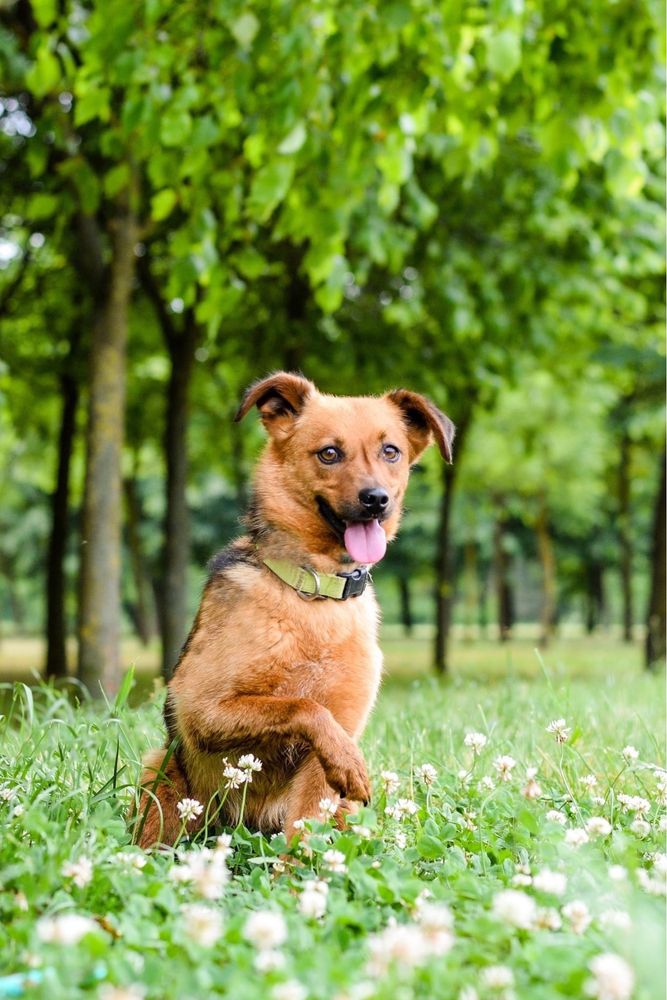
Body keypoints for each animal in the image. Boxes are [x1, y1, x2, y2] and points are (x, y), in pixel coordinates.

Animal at [136, 372, 454, 848]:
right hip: (161, 775)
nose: (376, 499)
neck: (315, 592)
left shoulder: (325, 758)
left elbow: (304, 833)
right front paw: (348, 759)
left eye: (391, 451)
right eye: (329, 453)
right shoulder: (201, 709)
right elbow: (301, 706)